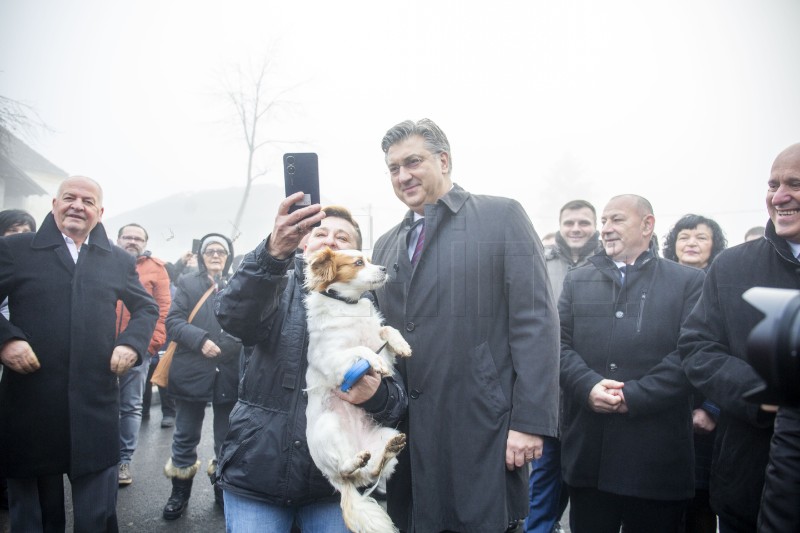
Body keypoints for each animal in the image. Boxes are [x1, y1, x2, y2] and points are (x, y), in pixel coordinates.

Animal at [302, 248, 410, 532]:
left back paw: (387, 450)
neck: (348, 306)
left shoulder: (380, 344)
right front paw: (376, 363)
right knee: (345, 469)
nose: (384, 268)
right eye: (359, 263)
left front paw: (401, 344)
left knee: (370, 473)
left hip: (385, 432)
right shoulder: (332, 359)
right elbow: (359, 349)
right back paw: (353, 461)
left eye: (369, 260)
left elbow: (386, 330)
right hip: (329, 427)